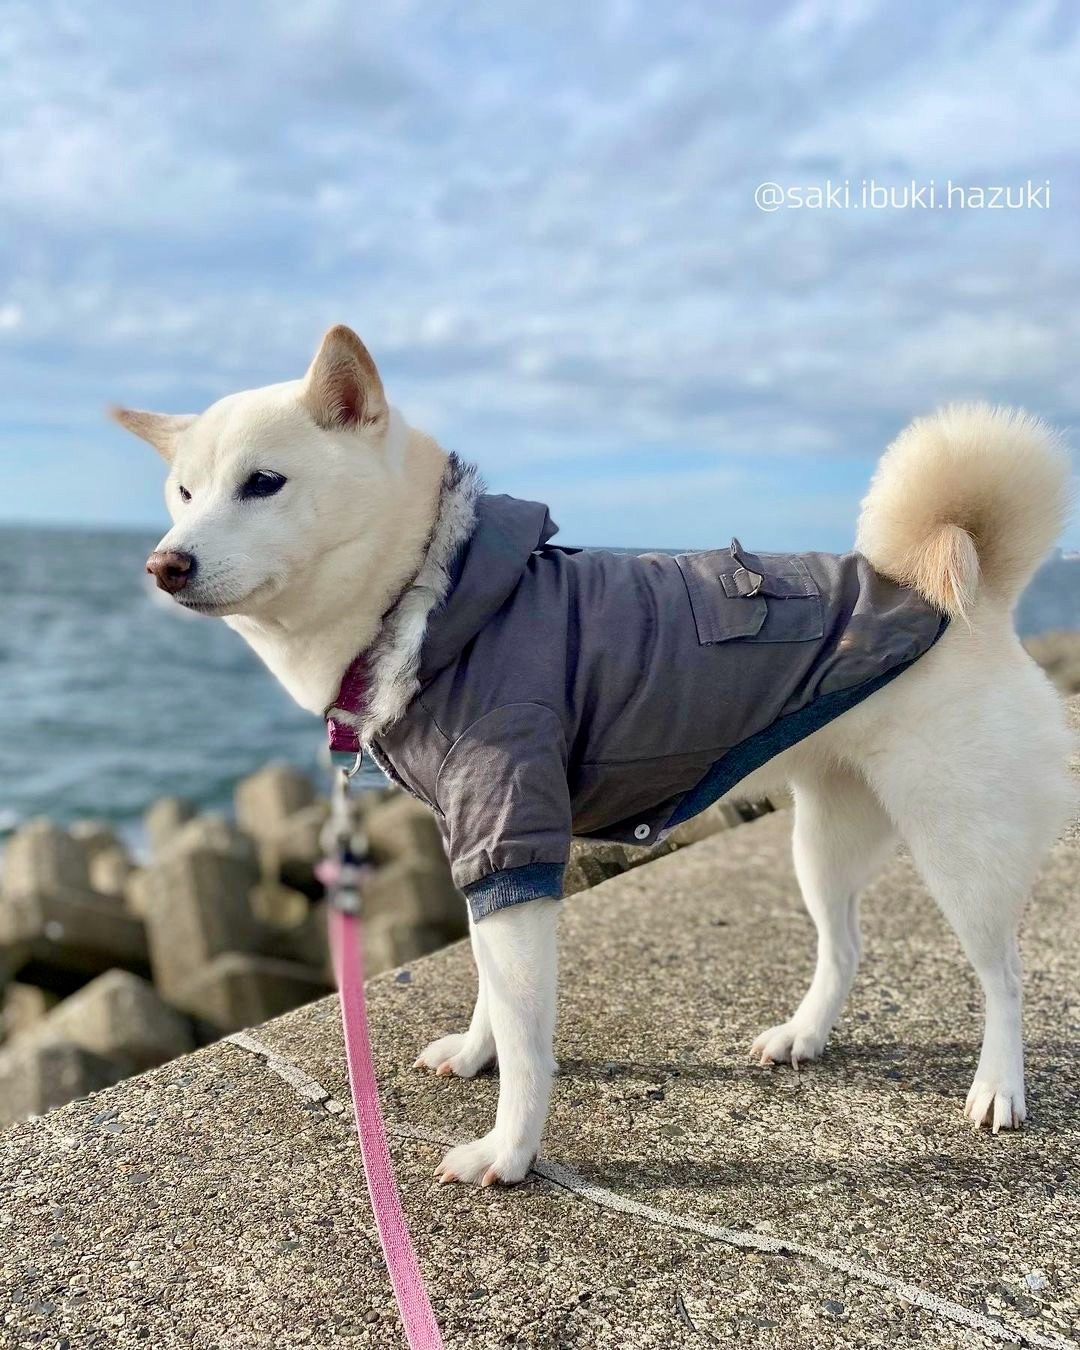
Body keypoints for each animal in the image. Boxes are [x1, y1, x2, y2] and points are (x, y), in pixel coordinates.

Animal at [114, 324, 1074, 1182]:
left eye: (263, 483)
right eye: (183, 492)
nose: (164, 564)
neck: (437, 600)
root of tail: (969, 602)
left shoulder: (513, 833)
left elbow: (526, 1038)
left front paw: (509, 1153)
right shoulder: (486, 851)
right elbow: (490, 992)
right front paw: (475, 1056)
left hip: (961, 847)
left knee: (1006, 973)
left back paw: (999, 1086)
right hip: (826, 835)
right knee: (845, 947)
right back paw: (803, 1035)